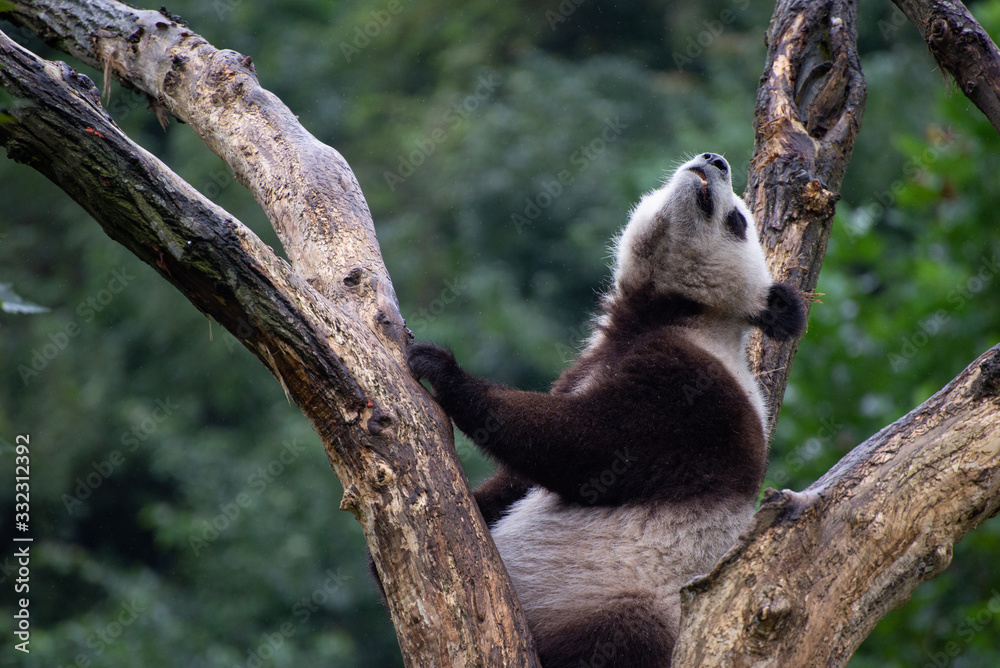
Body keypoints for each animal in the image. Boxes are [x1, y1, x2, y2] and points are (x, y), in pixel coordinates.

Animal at [407, 153, 806, 667]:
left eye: (737, 221)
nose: (714, 160)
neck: (672, 315)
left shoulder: (698, 395)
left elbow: (589, 447)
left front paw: (443, 370)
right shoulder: (588, 364)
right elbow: (520, 479)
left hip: (619, 599)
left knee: (620, 635)